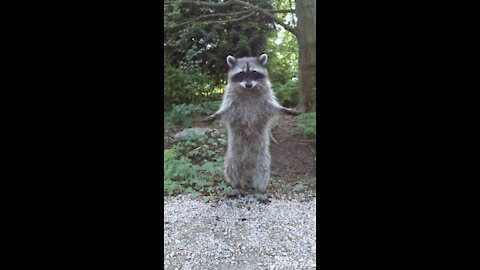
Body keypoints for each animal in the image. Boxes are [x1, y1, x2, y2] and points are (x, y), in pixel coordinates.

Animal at [204, 54, 302, 202]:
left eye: (254, 72)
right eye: (242, 73)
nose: (249, 84)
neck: (248, 91)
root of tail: (248, 171)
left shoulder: (266, 102)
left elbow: (275, 108)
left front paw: (286, 109)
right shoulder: (232, 102)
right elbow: (226, 111)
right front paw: (215, 115)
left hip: (262, 159)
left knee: (262, 173)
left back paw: (260, 191)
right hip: (232, 157)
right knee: (231, 170)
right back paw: (236, 187)